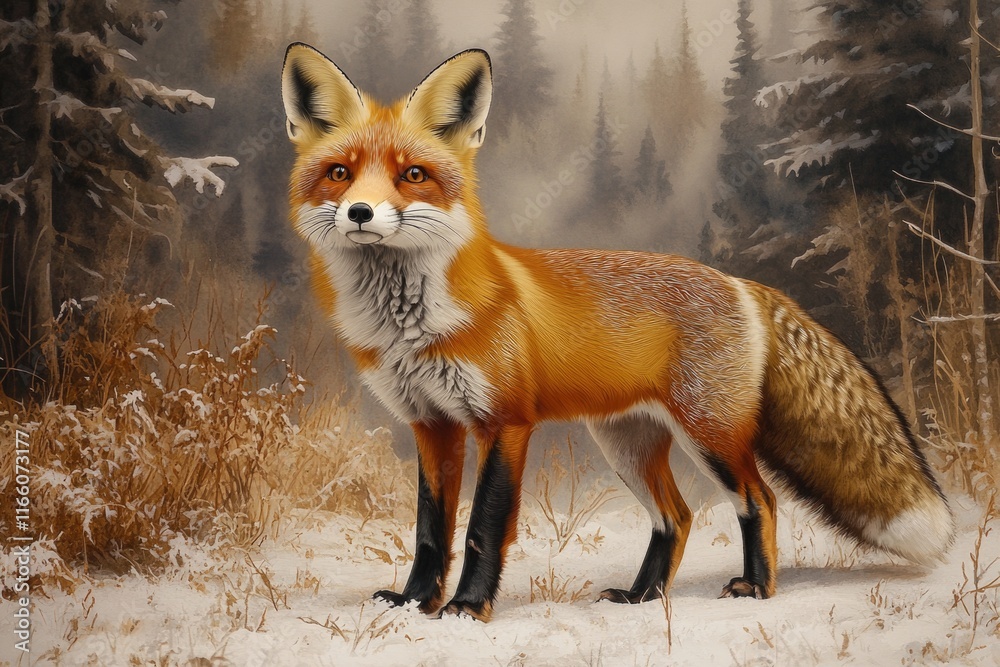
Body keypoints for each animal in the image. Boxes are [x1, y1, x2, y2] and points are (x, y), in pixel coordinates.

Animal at [279, 44, 954, 622]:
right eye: (339, 173)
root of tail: (738, 280)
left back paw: (757, 588)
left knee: (759, 500)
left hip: (710, 435)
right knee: (676, 517)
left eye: (413, 175)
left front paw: (468, 609)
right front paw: (415, 603)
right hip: (627, 445)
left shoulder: (504, 421)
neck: (411, 328)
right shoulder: (431, 424)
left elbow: (480, 530)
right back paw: (642, 596)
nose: (360, 213)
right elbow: (429, 529)